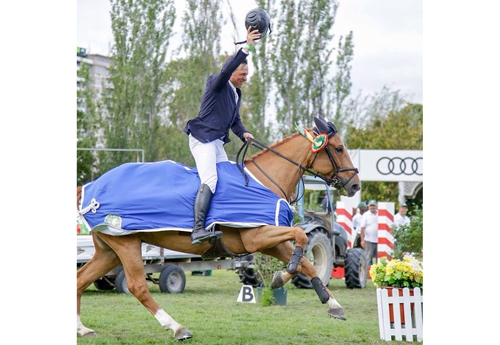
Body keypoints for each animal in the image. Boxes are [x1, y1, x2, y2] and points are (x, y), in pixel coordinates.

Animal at [76, 115, 362, 338]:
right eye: (338, 148)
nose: (355, 185)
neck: (265, 181)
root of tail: (91, 188)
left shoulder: (268, 241)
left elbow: (306, 263)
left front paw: (330, 303)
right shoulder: (257, 237)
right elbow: (301, 235)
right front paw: (285, 274)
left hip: (109, 250)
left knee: (80, 279)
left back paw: (82, 329)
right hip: (126, 243)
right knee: (137, 286)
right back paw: (177, 328)